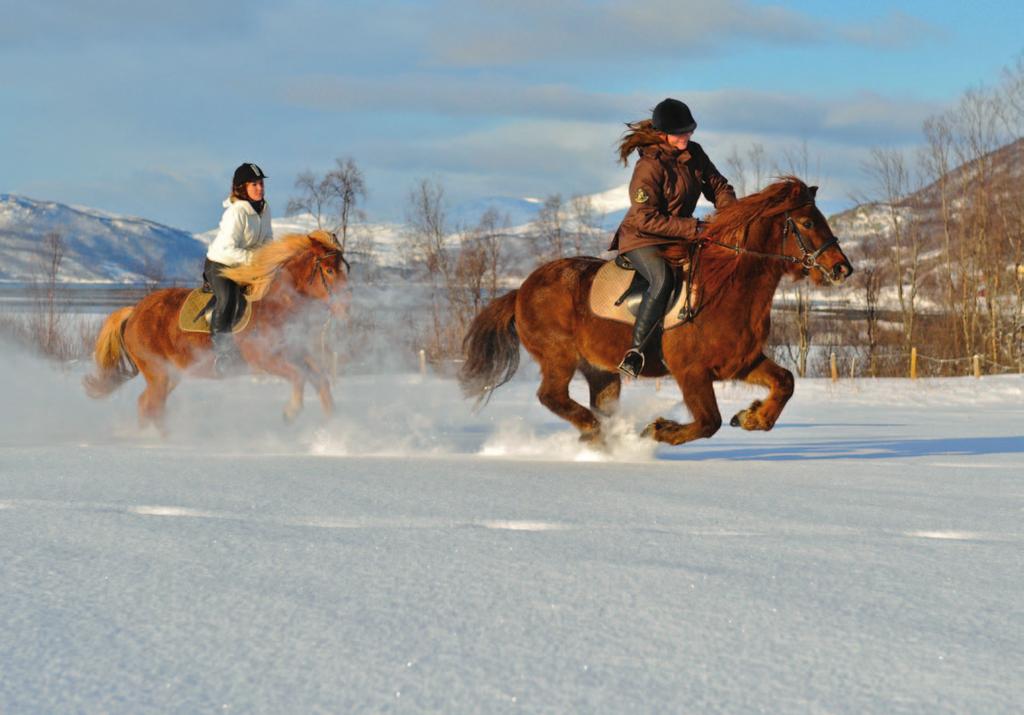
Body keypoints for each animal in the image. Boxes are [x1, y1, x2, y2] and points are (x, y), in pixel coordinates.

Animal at [83, 229, 348, 428]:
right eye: (328, 270)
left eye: (345, 269)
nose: (345, 308)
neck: (276, 304)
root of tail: (134, 313)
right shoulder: (264, 360)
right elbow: (299, 376)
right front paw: (291, 413)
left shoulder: (296, 352)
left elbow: (320, 380)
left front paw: (334, 428)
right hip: (158, 372)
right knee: (154, 407)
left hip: (171, 374)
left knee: (146, 405)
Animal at [460, 177, 851, 446]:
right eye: (808, 223)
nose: (842, 269)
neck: (727, 288)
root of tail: (521, 290)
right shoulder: (691, 372)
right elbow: (708, 421)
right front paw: (659, 430)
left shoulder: (741, 362)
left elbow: (785, 382)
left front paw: (752, 416)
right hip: (559, 357)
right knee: (551, 396)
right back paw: (596, 433)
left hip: (601, 369)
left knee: (598, 401)